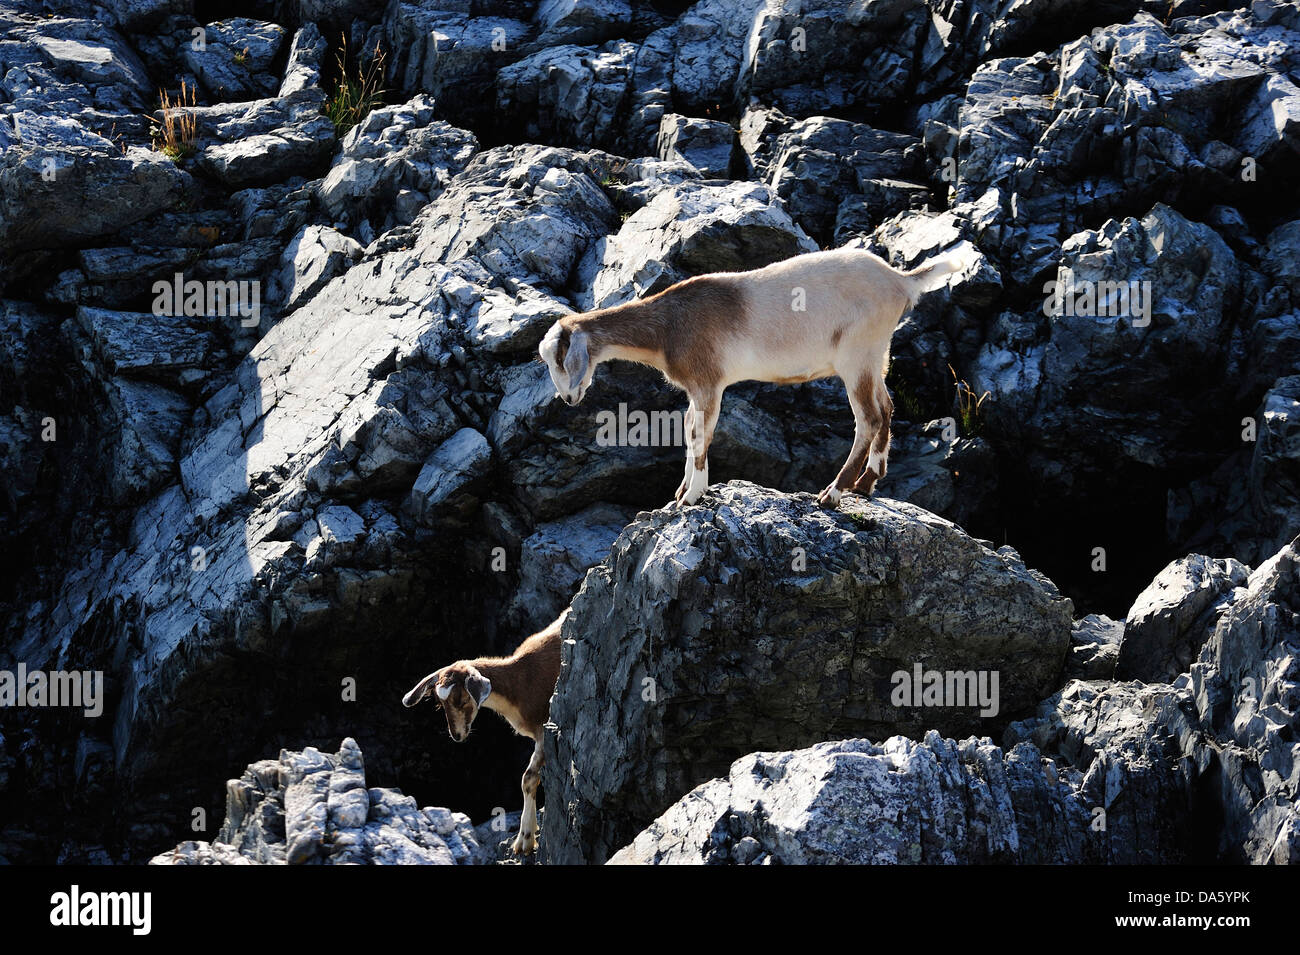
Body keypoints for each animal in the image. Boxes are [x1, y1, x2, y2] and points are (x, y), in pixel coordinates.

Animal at [400, 613, 564, 857]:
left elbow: (528, 778)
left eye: (460, 699)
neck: (522, 682)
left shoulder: (544, 730)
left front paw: (524, 839)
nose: (457, 735)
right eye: (440, 703)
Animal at [533, 244, 972, 509]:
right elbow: (689, 430)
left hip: (856, 356)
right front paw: (681, 492)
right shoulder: (696, 390)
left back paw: (833, 493)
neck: (669, 326)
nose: (568, 399)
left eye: (560, 358)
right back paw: (868, 483)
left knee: (869, 418)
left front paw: (691, 497)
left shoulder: (708, 383)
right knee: (887, 407)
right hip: (876, 355)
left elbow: (700, 435)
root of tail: (900, 281)